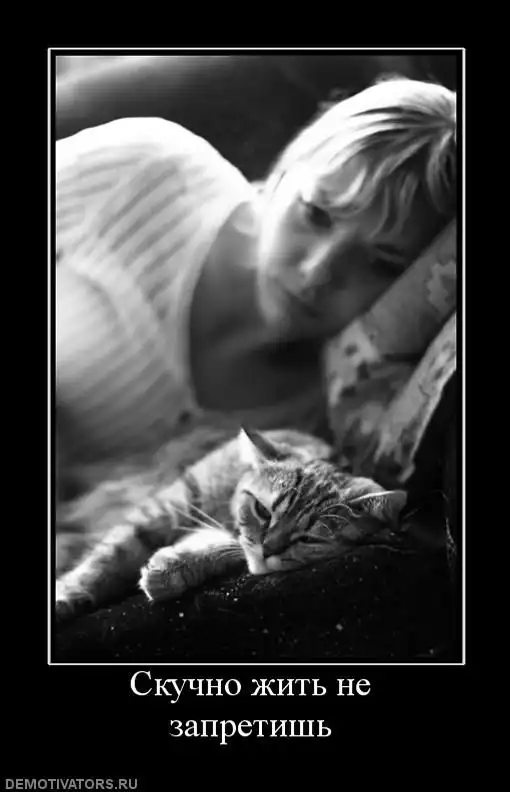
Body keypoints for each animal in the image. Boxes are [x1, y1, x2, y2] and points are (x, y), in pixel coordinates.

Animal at [55, 427, 408, 623]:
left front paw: (172, 569)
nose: (268, 549)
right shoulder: (162, 508)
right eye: (263, 511)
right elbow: (108, 558)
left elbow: (223, 548)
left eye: (309, 539)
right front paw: (66, 593)